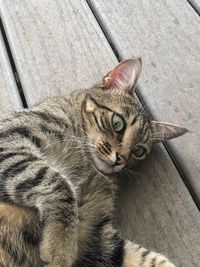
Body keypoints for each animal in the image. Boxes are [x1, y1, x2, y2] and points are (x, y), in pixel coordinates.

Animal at [0, 59, 187, 267]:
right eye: (118, 123)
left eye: (139, 151)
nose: (121, 158)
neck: (90, 168)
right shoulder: (10, 138)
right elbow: (56, 181)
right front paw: (60, 246)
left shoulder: (96, 237)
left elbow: (145, 257)